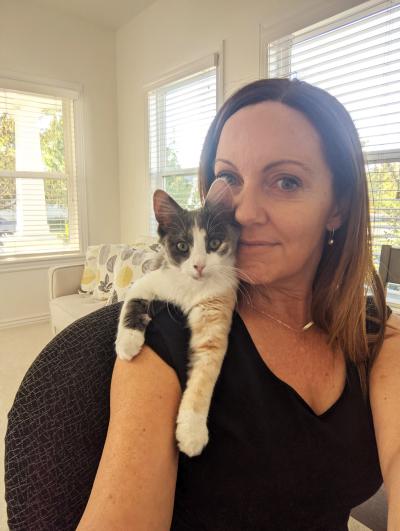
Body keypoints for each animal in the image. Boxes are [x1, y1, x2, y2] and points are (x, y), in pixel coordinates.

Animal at [114, 179, 239, 458]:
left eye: (214, 243)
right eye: (183, 246)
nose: (199, 266)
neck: (190, 289)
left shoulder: (218, 306)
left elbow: (203, 378)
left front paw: (192, 432)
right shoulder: (152, 280)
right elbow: (131, 303)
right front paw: (127, 344)